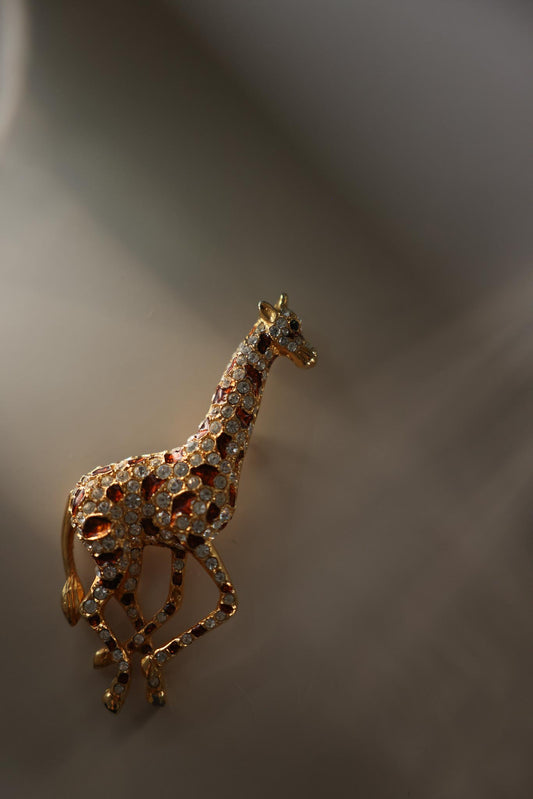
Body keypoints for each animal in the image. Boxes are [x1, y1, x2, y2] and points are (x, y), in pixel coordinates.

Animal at [61, 293, 317, 712]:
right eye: (291, 327)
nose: (311, 357)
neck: (215, 452)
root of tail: (74, 493)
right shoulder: (199, 539)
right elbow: (227, 604)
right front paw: (147, 665)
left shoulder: (176, 544)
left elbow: (173, 601)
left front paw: (148, 669)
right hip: (111, 553)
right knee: (90, 606)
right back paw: (116, 689)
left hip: (129, 551)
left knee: (125, 597)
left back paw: (117, 661)